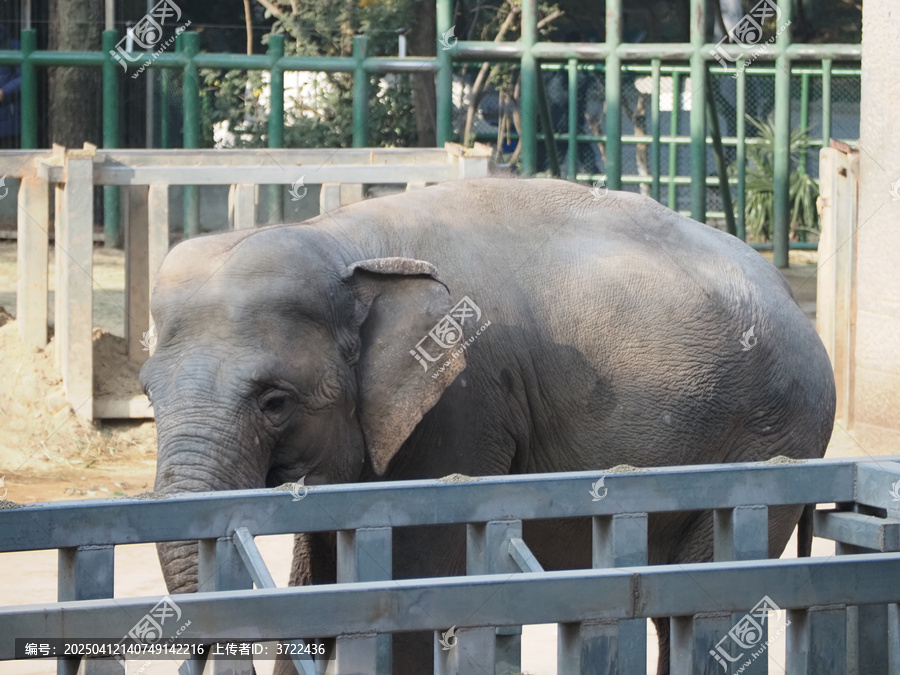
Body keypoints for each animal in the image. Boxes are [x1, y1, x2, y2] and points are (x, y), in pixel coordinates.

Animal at [141, 178, 836, 675]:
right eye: (148, 393)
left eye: (275, 402)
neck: (345, 244)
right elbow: (317, 583)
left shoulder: (461, 407)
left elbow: (412, 586)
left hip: (775, 437)